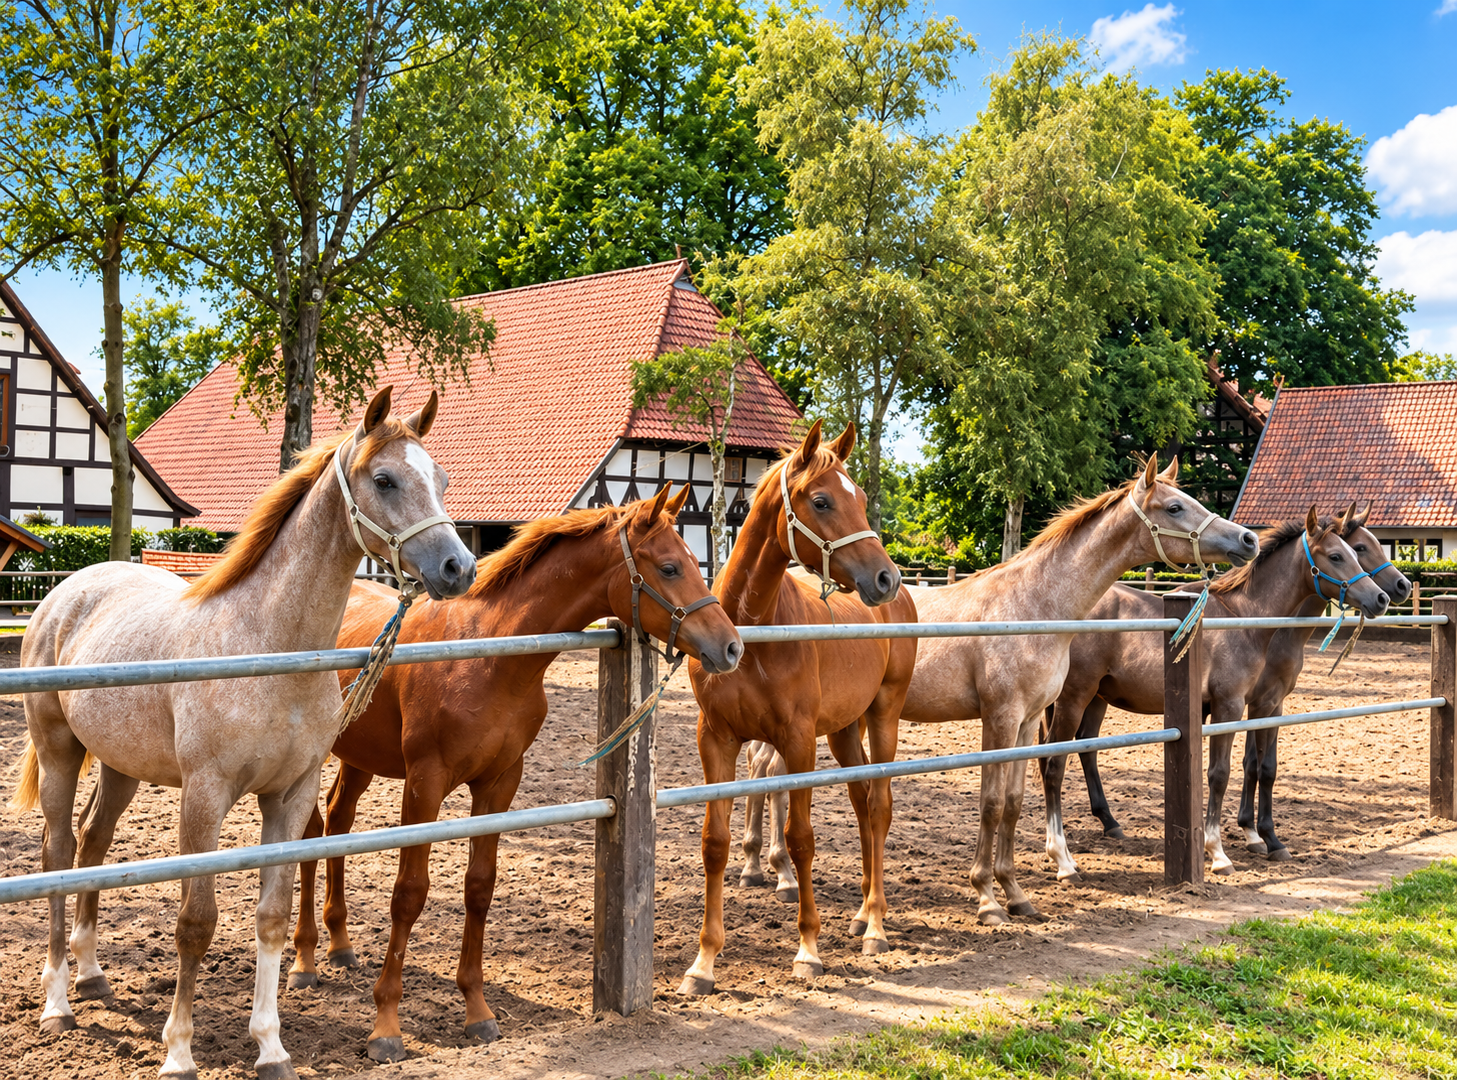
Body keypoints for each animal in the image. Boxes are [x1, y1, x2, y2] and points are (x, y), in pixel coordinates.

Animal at [9, 387, 474, 1080]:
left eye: (440, 478)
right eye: (385, 479)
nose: (457, 567)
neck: (268, 644)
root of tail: (65, 591)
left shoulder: (290, 796)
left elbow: (272, 918)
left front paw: (271, 1046)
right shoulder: (204, 796)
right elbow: (195, 922)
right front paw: (178, 1052)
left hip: (121, 766)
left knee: (93, 844)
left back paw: (92, 975)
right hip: (59, 752)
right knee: (59, 854)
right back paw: (58, 1002)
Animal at [286, 483, 743, 1063]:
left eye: (689, 559)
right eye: (668, 567)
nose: (731, 647)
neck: (488, 654)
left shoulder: (500, 783)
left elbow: (479, 888)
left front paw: (477, 1011)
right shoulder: (424, 785)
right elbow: (409, 893)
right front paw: (386, 1025)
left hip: (358, 759)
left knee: (338, 825)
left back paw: (340, 946)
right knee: (310, 834)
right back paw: (303, 961)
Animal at [677, 420, 916, 996]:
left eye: (860, 498)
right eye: (823, 500)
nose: (885, 578)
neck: (752, 630)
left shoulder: (798, 740)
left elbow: (802, 839)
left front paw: (808, 949)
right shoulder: (715, 739)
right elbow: (714, 843)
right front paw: (703, 962)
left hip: (884, 715)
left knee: (879, 807)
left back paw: (876, 925)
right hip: (846, 730)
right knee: (861, 804)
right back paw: (860, 915)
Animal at [897, 455, 1259, 924]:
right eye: (1174, 507)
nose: (1248, 539)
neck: (1029, 607)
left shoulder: (1028, 720)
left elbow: (1013, 800)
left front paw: (1015, 893)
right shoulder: (999, 718)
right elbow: (991, 802)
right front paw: (987, 898)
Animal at [1041, 504, 1396, 879]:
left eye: (1355, 551)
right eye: (1340, 554)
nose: (1383, 597)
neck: (1244, 618)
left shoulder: (1264, 706)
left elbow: (1262, 767)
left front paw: (1267, 840)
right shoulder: (1231, 707)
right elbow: (1220, 774)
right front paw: (1219, 851)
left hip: (1097, 698)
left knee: (1083, 748)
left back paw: (1107, 824)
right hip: (1074, 699)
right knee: (1054, 763)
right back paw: (1062, 858)